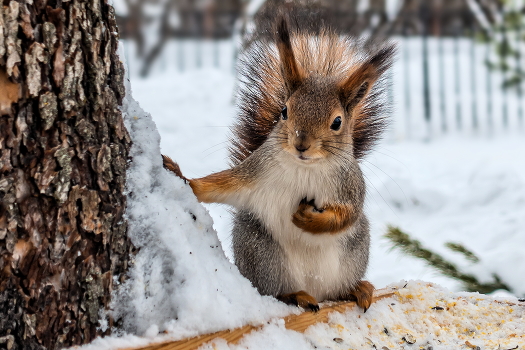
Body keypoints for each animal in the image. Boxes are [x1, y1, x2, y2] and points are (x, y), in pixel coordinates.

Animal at [162, 17, 396, 310]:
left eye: (337, 122)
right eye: (284, 111)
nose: (301, 143)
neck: (305, 167)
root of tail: (316, 291)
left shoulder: (350, 186)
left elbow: (346, 216)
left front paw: (309, 219)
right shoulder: (254, 172)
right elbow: (220, 185)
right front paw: (181, 176)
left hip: (353, 251)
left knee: (338, 284)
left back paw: (356, 289)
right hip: (262, 253)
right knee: (274, 292)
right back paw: (295, 295)